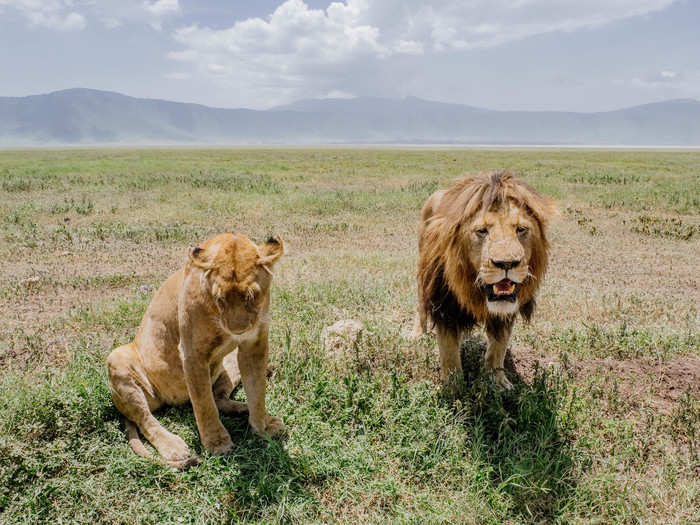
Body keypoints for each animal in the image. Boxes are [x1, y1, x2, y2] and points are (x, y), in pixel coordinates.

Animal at [106, 233, 284, 466]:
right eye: (220, 299)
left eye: (252, 296)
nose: (238, 330)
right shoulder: (192, 354)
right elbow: (203, 403)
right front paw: (217, 443)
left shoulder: (254, 345)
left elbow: (257, 391)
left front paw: (263, 425)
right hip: (117, 358)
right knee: (145, 418)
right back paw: (173, 446)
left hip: (227, 364)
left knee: (220, 397)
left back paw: (244, 408)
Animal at [412, 172, 556, 388]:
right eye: (482, 231)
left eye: (521, 229)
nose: (506, 263)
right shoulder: (444, 305)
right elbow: (448, 350)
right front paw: (453, 386)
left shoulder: (505, 314)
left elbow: (498, 347)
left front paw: (497, 380)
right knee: (421, 304)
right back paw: (418, 334)